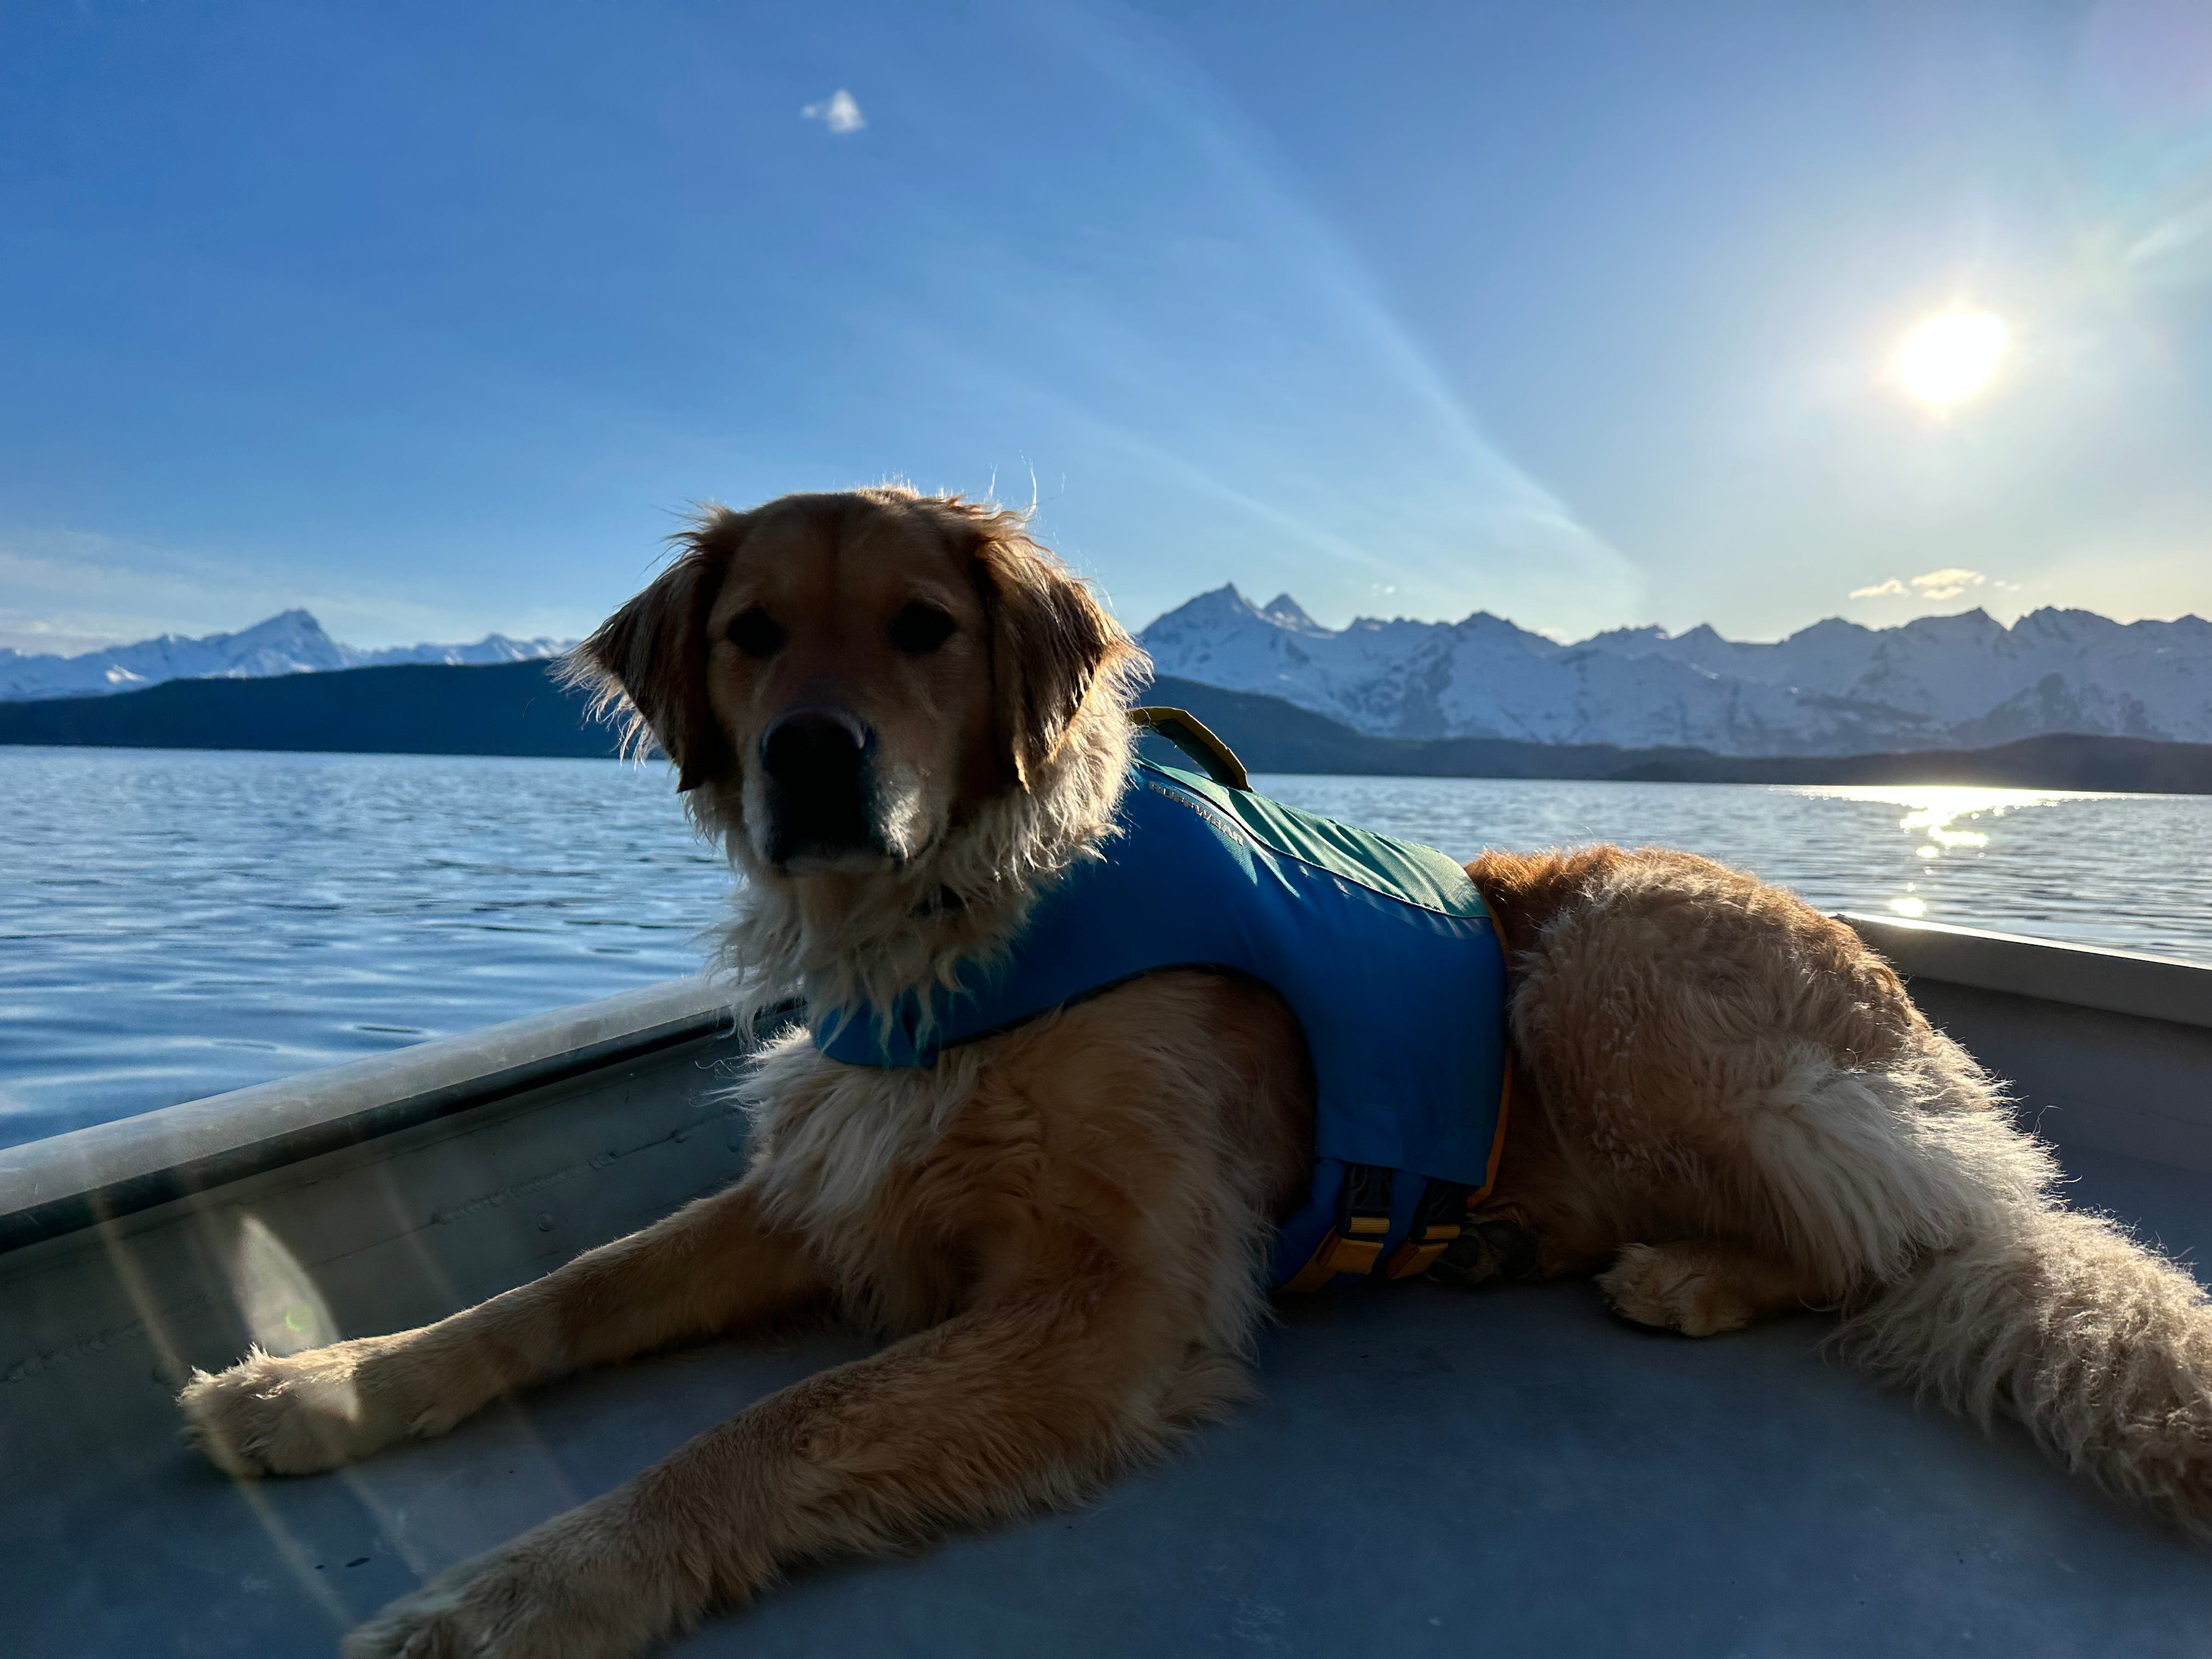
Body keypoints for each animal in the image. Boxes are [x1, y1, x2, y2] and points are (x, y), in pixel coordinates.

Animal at [177, 487, 2212, 1654]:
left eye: (923, 627)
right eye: (751, 634)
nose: (811, 758)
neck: (951, 933)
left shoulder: (1117, 1300)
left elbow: (774, 1425)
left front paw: (530, 1588)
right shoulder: (834, 1179)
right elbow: (562, 1293)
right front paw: (324, 1386)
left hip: (1610, 963)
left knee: (1906, 1240)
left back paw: (1697, 1273)